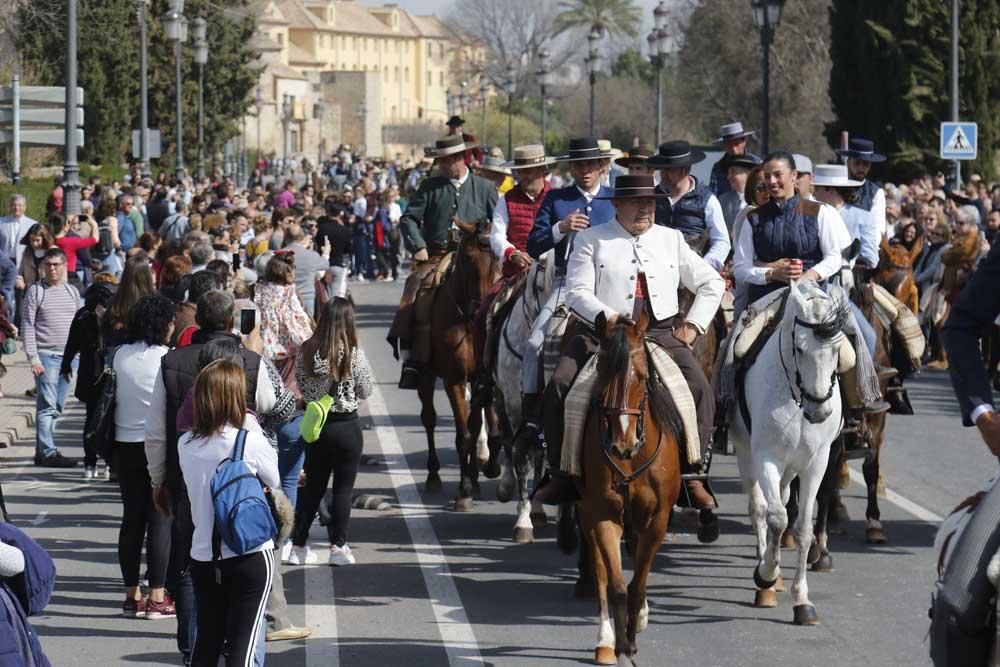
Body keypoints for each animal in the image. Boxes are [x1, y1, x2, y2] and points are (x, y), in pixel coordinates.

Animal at [418, 219, 500, 512]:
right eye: (466, 258)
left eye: (497, 257)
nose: (480, 309)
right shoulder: (454, 380)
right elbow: (463, 435)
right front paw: (463, 490)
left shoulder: (478, 380)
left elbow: (474, 428)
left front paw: (474, 479)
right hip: (426, 376)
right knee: (429, 419)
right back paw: (433, 474)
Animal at [580, 310, 680, 664]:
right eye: (602, 372)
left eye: (641, 376)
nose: (621, 444)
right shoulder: (602, 515)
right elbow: (617, 585)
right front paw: (622, 645)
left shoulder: (658, 518)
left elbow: (637, 583)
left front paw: (634, 635)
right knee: (599, 571)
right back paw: (605, 640)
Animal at [732, 280, 848, 628]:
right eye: (799, 348)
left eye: (837, 350)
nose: (820, 409)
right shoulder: (766, 457)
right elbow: (777, 517)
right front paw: (766, 574)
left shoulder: (815, 464)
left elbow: (802, 527)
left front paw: (802, 601)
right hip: (746, 453)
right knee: (760, 508)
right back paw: (767, 571)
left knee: (782, 499)